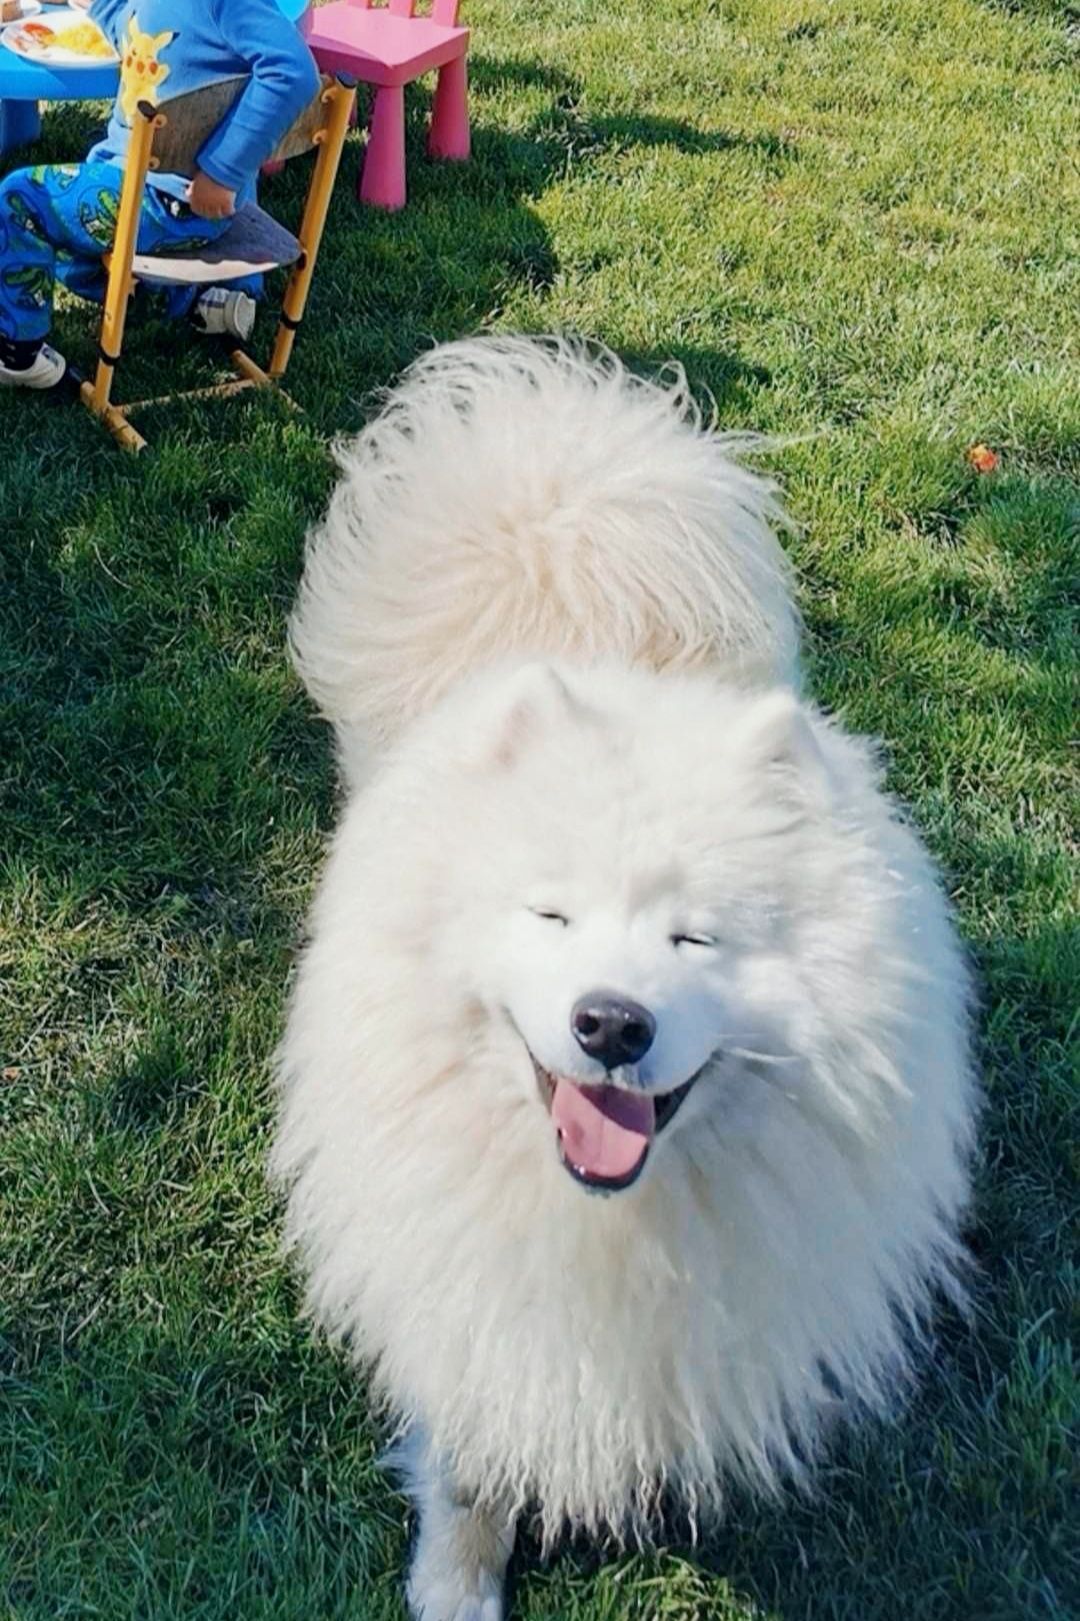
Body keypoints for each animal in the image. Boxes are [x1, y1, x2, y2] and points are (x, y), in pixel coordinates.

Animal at [270, 335, 972, 1614]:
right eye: (552, 915)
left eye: (699, 940)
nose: (610, 1022)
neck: (607, 1219)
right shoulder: (469, 1292)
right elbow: (471, 1460)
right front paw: (456, 1582)